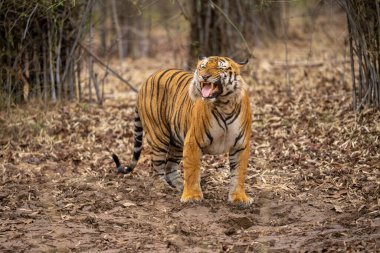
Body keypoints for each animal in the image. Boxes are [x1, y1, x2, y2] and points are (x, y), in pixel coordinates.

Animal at [113, 55, 255, 206]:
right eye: (203, 67)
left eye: (220, 67)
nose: (204, 76)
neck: (224, 105)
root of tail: (147, 80)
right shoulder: (193, 141)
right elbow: (192, 170)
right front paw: (192, 196)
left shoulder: (241, 145)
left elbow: (239, 173)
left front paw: (239, 198)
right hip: (158, 137)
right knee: (156, 167)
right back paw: (163, 187)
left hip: (176, 142)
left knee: (170, 167)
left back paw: (180, 185)